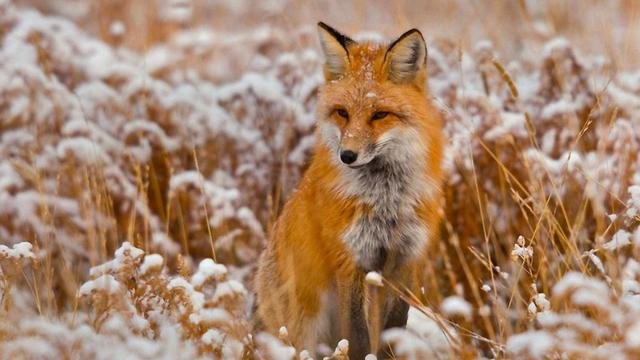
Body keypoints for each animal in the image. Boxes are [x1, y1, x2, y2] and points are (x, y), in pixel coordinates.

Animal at [252, 22, 442, 358]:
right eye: (342, 113)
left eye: (379, 114)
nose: (347, 155)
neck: (385, 200)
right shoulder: (349, 260)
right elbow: (356, 336)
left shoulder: (405, 260)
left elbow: (393, 330)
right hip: (304, 325)